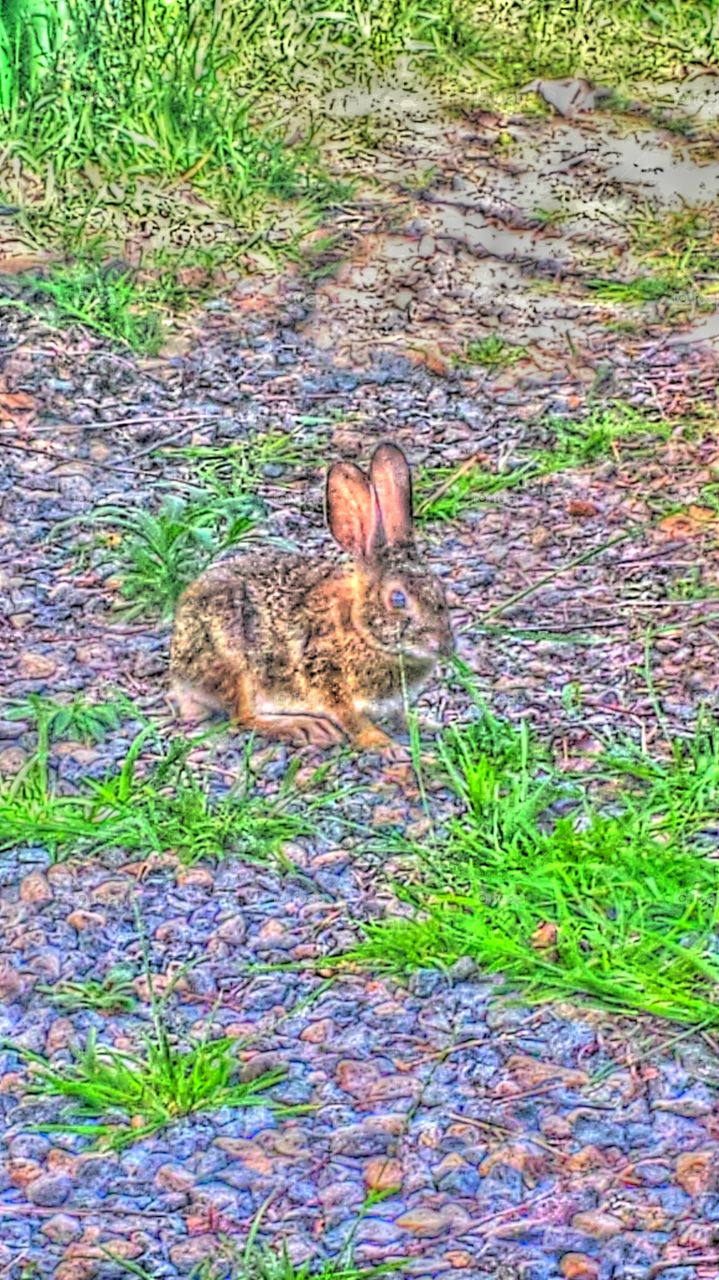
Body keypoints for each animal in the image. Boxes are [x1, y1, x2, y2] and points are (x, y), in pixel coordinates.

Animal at [169, 441, 454, 752]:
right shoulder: (326, 677)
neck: (361, 629)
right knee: (243, 716)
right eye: (398, 599)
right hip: (236, 664)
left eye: (440, 589)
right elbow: (350, 718)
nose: (445, 646)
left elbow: (400, 715)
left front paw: (425, 725)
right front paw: (381, 743)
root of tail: (178, 664)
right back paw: (305, 727)